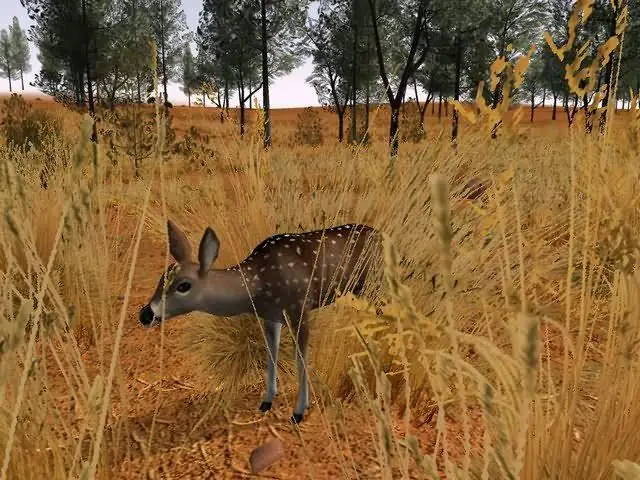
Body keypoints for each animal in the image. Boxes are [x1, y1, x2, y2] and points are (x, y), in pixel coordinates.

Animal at [139, 220, 383, 424]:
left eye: (184, 285)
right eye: (161, 278)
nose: (146, 315)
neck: (258, 284)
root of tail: (379, 234)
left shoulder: (299, 308)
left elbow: (301, 357)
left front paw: (298, 412)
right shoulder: (270, 316)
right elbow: (271, 352)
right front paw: (267, 401)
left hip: (373, 285)